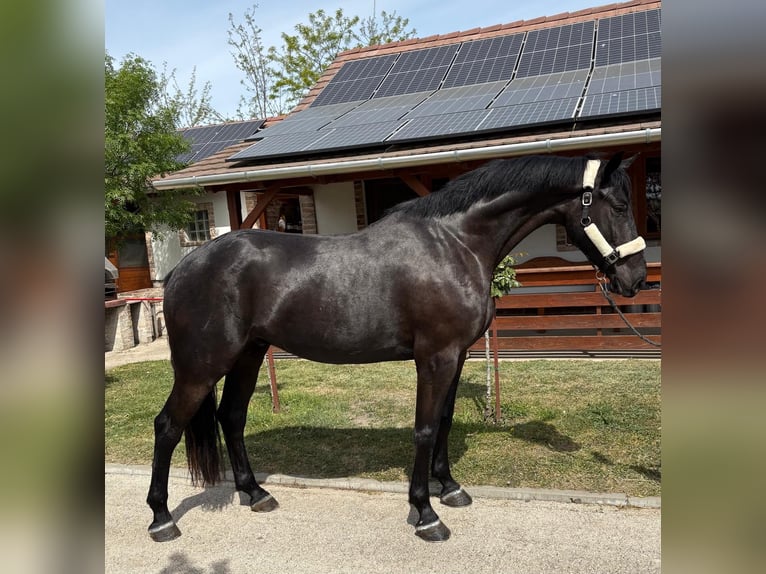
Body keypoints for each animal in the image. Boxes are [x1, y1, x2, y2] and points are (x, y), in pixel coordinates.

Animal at [147, 152, 647, 543]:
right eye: (621, 205)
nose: (636, 279)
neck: (455, 244)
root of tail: (183, 268)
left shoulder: (457, 355)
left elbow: (443, 421)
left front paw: (450, 488)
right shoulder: (435, 357)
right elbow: (424, 428)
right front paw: (426, 514)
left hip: (248, 356)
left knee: (231, 417)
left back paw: (255, 493)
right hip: (201, 366)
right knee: (168, 426)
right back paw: (162, 518)